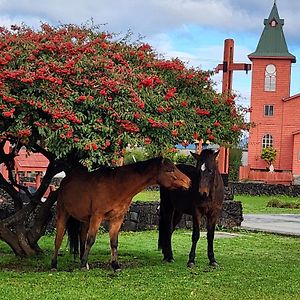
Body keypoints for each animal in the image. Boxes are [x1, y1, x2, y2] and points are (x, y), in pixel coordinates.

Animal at [49, 158, 190, 270]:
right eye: (170, 170)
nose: (188, 181)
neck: (116, 185)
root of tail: (65, 181)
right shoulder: (97, 217)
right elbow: (91, 240)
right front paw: (83, 265)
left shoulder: (117, 218)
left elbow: (114, 242)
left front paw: (115, 265)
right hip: (63, 214)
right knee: (58, 239)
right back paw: (54, 264)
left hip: (85, 220)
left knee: (82, 237)